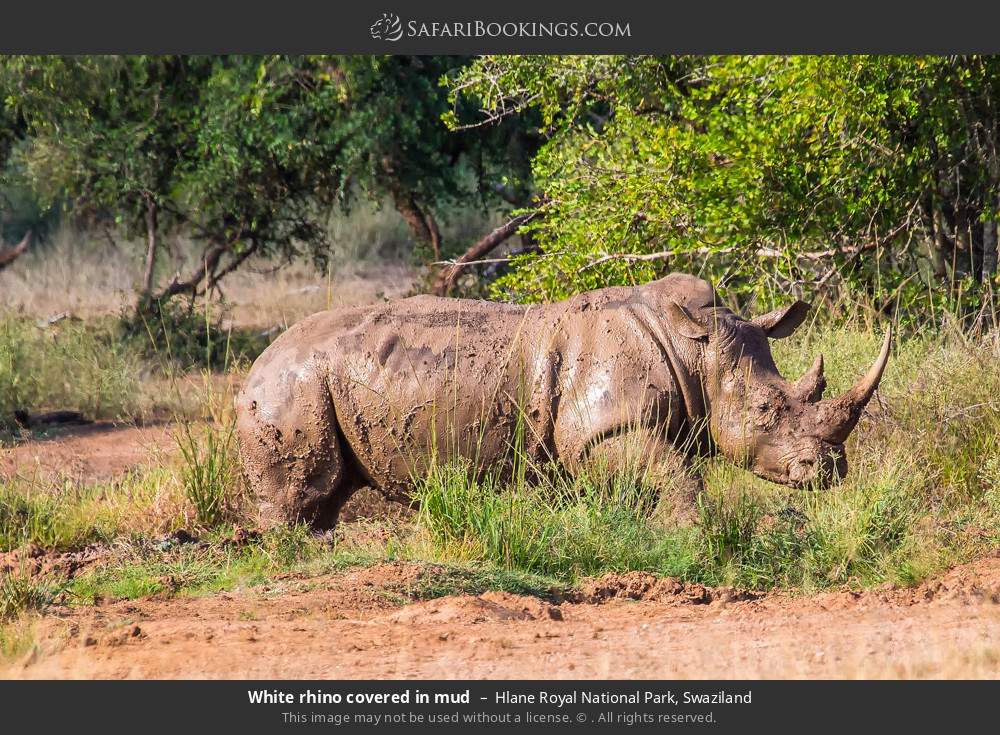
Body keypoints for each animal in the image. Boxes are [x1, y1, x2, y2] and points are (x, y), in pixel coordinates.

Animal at [235, 273, 891, 528]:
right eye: (764, 412)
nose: (829, 470)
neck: (696, 349)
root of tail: (254, 365)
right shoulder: (605, 431)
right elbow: (678, 477)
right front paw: (697, 535)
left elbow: (654, 479)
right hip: (292, 387)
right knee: (301, 489)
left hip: (307, 383)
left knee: (326, 492)